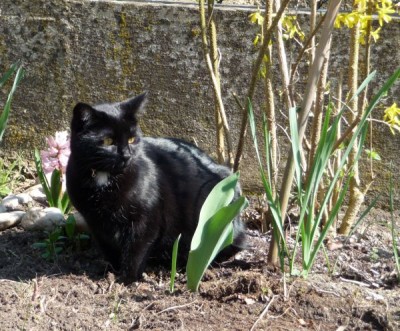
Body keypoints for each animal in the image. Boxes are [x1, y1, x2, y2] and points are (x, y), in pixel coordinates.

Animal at [67, 92, 245, 282]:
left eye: (131, 139)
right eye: (108, 141)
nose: (127, 155)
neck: (105, 179)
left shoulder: (147, 220)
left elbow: (136, 252)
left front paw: (127, 279)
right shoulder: (95, 222)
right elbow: (110, 250)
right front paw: (112, 271)